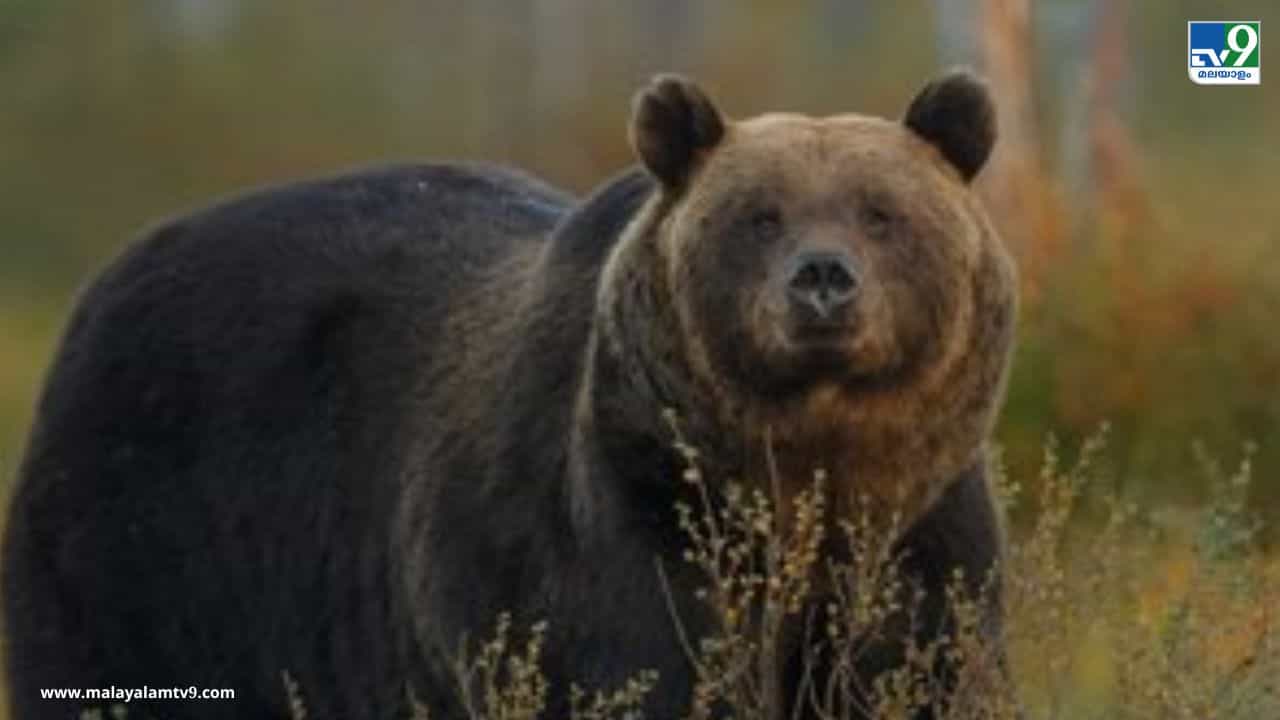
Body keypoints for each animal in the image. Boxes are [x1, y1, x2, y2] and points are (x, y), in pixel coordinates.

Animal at [3, 69, 1015, 720]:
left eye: (881, 212)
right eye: (758, 215)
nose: (822, 279)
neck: (802, 468)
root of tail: (113, 271)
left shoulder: (920, 528)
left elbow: (918, 670)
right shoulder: (622, 513)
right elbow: (644, 672)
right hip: (152, 538)